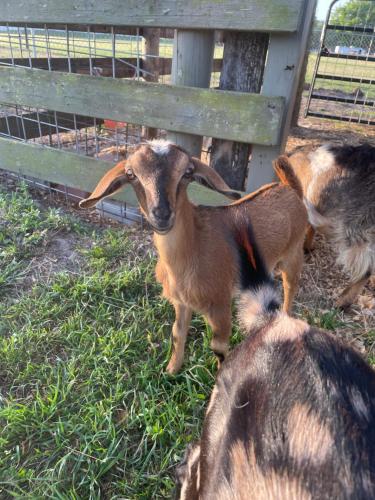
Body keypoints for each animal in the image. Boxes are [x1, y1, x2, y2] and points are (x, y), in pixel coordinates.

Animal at [80, 142, 308, 376]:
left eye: (187, 172)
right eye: (130, 174)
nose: (162, 214)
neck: (194, 248)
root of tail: (288, 187)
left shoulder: (220, 303)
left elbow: (219, 348)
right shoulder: (181, 302)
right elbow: (177, 332)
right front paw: (172, 369)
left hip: (293, 253)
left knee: (290, 288)